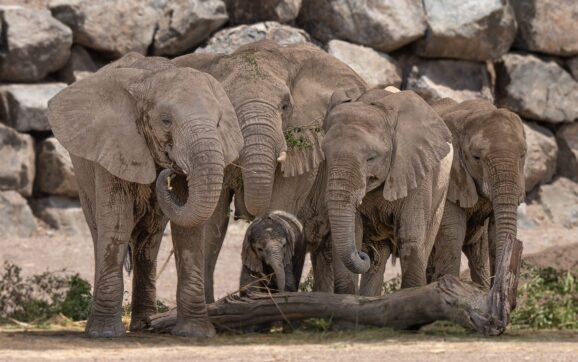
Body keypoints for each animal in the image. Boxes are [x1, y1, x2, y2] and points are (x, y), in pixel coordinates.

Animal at [46, 55, 241, 338]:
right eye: (166, 121)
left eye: (217, 123)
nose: (170, 171)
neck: (149, 79)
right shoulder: (113, 146)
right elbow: (117, 222)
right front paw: (104, 334)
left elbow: (188, 231)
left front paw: (195, 333)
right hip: (83, 178)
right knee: (100, 232)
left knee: (149, 240)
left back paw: (145, 324)